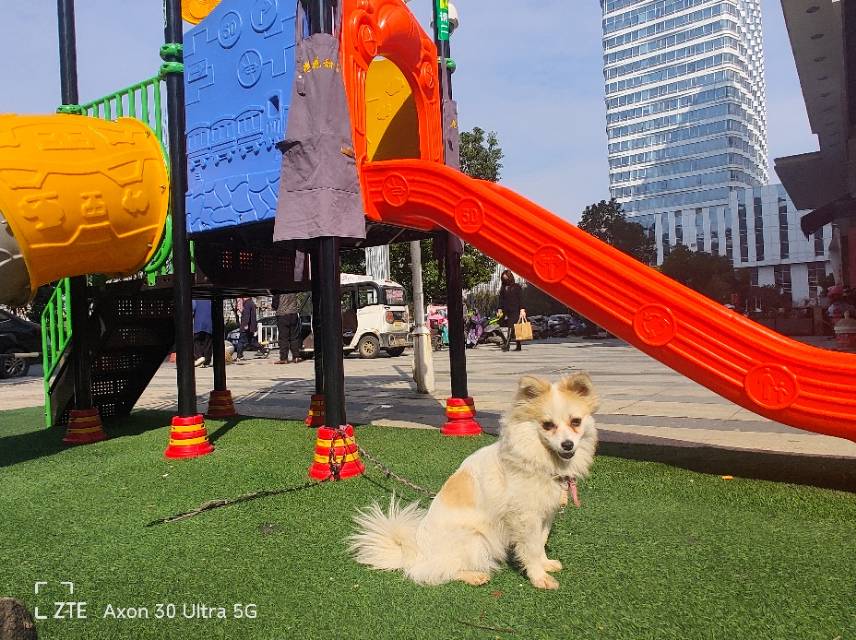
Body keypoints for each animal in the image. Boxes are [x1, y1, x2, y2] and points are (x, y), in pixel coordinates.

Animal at [346, 376, 596, 592]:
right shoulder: (525, 517)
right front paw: (539, 577)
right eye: (547, 425)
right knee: (436, 571)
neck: (542, 460)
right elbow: (531, 548)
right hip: (476, 539)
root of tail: (414, 554)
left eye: (576, 422)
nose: (567, 444)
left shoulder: (544, 515)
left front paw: (546, 564)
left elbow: (540, 542)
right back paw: (473, 575)